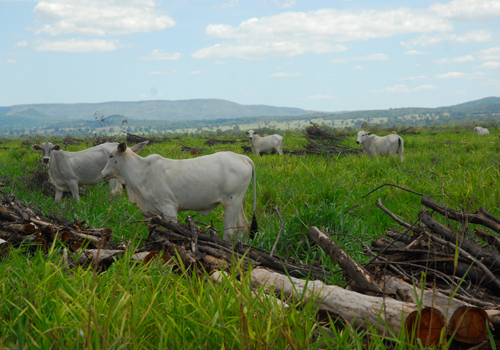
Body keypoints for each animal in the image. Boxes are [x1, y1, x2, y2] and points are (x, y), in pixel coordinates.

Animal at [100, 142, 260, 241]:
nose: (102, 173)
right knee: (243, 226)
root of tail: (242, 157)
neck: (143, 172)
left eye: (111, 156)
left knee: (230, 231)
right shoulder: (153, 211)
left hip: (231, 203)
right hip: (238, 202)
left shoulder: (169, 207)